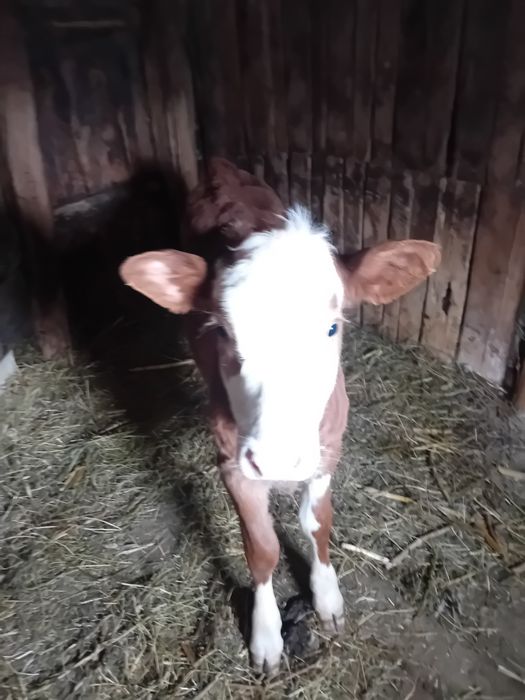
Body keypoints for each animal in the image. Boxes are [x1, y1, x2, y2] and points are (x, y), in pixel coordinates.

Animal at [119, 158, 440, 675]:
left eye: (332, 327)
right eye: (223, 332)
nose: (276, 460)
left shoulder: (329, 448)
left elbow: (317, 522)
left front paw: (327, 599)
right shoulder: (233, 464)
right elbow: (263, 548)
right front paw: (267, 634)